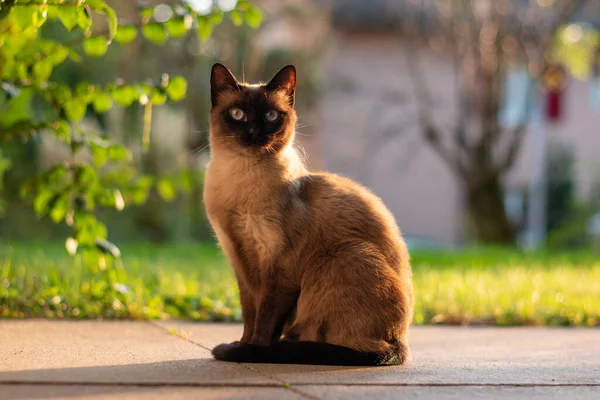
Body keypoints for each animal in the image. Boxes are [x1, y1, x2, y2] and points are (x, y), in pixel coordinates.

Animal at [202, 63, 412, 366]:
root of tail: (401, 340)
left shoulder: (278, 268)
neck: (240, 181)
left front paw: (249, 352)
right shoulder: (240, 261)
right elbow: (249, 316)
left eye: (270, 115)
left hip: (343, 255)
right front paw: (242, 344)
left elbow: (264, 322)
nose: (254, 131)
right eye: (238, 114)